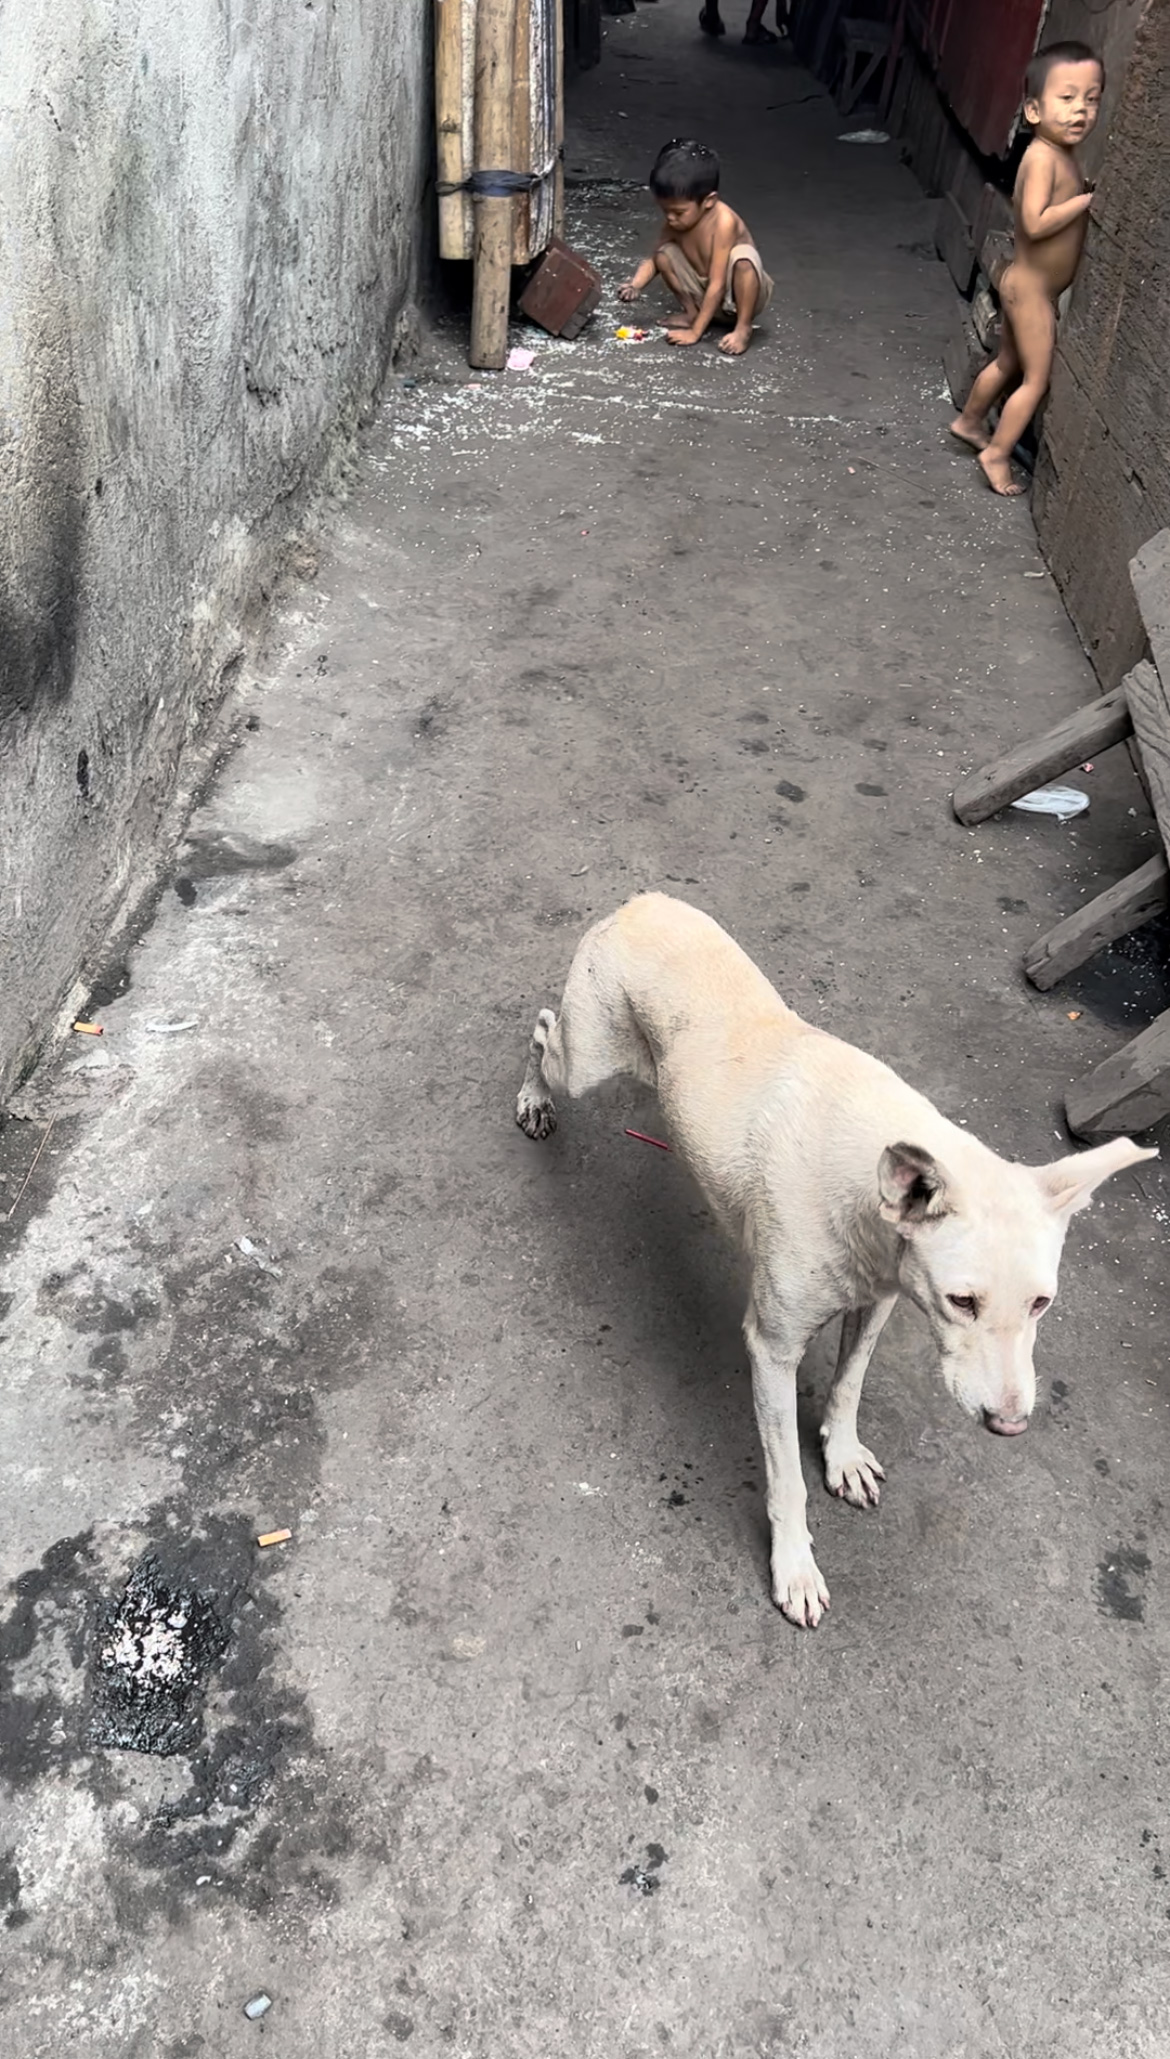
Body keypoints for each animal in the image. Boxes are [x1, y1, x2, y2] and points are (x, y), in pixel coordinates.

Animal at [517, 897, 1153, 1622]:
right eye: (962, 1301)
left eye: (1042, 1302)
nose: (1011, 1425)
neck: (866, 1197)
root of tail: (644, 901)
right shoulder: (771, 1348)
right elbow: (786, 1477)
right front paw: (794, 1566)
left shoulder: (878, 1300)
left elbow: (849, 1382)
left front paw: (842, 1455)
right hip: (586, 1059)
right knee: (543, 1031)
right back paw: (533, 1100)